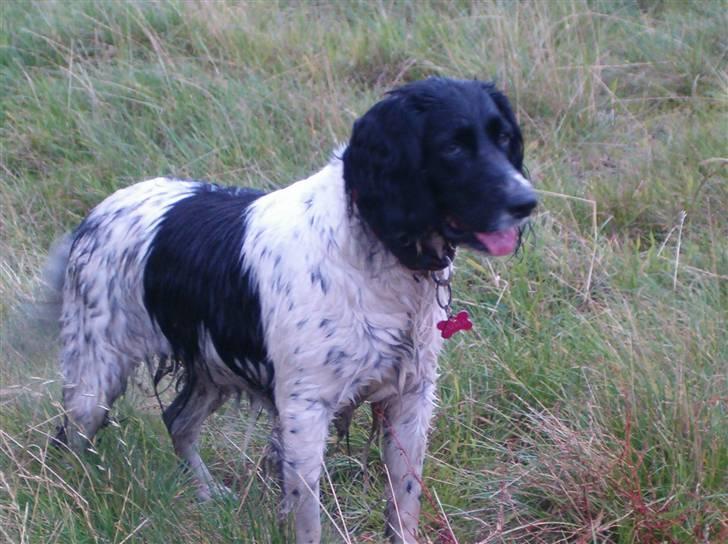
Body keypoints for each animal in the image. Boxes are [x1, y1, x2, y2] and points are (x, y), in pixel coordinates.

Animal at [47, 77, 536, 544]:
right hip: (95, 378)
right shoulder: (305, 410)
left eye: (504, 138)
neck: (375, 248)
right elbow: (308, 518)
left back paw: (206, 492)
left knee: (178, 421)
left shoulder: (411, 398)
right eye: (452, 147)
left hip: (212, 367)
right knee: (69, 442)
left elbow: (403, 505)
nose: (527, 202)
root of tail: (92, 217)